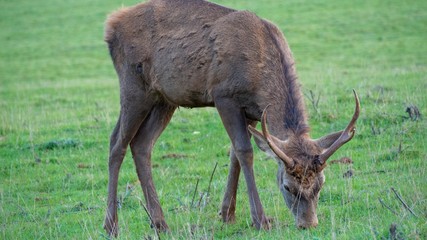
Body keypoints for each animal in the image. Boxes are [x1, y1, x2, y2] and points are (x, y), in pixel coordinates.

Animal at [103, 0, 362, 236]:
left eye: (321, 184)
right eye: (287, 187)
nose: (308, 224)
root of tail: (111, 26)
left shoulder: (253, 110)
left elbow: (235, 154)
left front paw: (228, 214)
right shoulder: (224, 95)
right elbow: (245, 151)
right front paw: (260, 220)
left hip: (164, 98)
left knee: (142, 144)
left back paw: (159, 223)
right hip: (134, 86)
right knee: (117, 143)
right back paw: (111, 225)